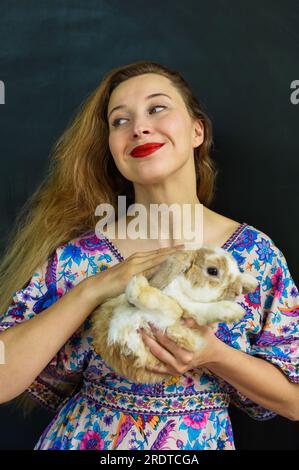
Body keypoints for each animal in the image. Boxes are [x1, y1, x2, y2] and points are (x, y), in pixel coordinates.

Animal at [92, 244, 260, 384]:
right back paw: (137, 284)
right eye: (212, 271)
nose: (237, 291)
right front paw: (235, 309)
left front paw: (249, 283)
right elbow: (188, 308)